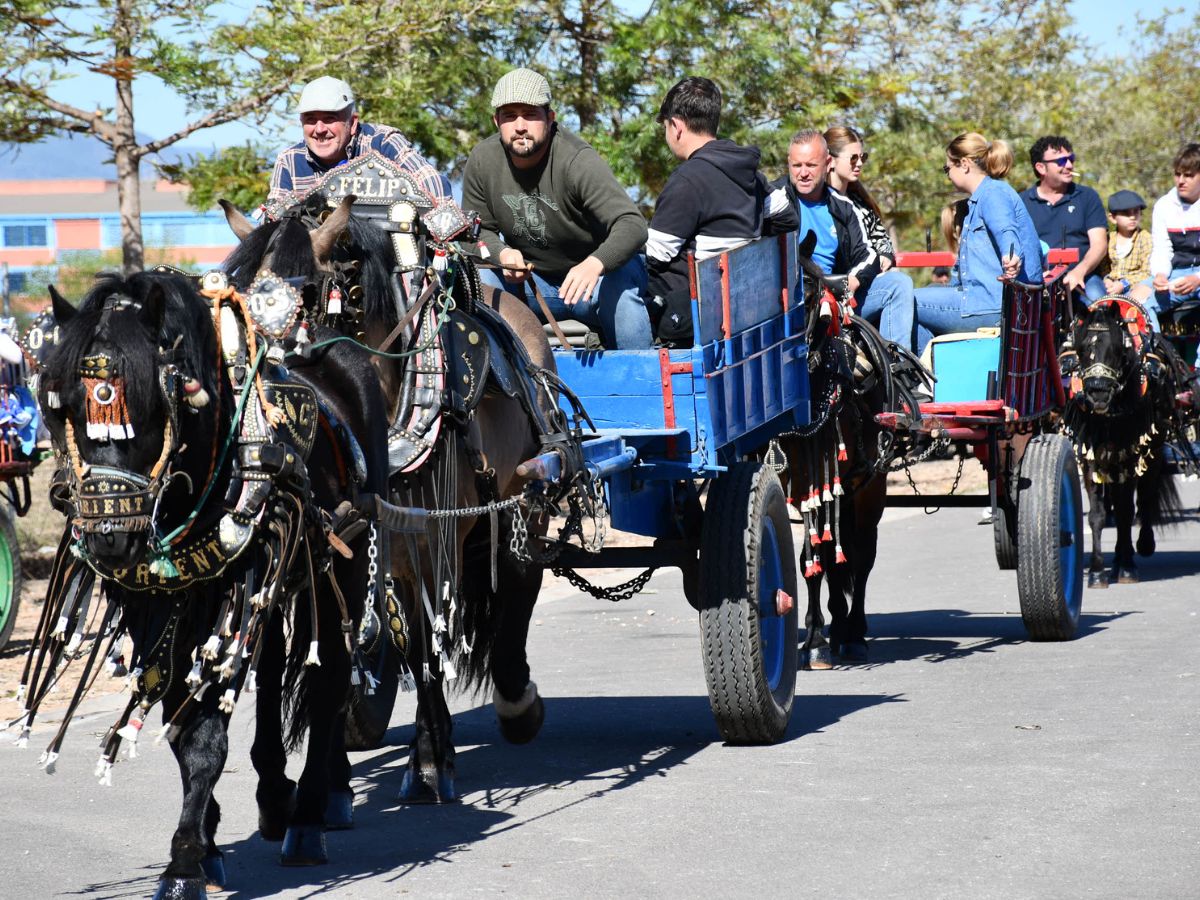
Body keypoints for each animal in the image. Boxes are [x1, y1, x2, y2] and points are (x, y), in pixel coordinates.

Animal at [23, 271, 386, 897]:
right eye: (61, 405)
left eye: (151, 407)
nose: (109, 538)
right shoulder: (163, 606)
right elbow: (177, 716)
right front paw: (209, 842)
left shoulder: (226, 593)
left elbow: (205, 736)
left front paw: (185, 862)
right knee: (272, 670)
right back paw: (275, 794)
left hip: (339, 559)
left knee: (330, 676)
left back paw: (310, 815)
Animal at [1065, 300, 1185, 588]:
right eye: (1082, 349)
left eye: (1116, 349)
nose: (1097, 393)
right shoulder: (1090, 455)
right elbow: (1098, 515)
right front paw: (1097, 572)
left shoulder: (1130, 452)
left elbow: (1126, 509)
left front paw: (1128, 567)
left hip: (1154, 447)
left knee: (1144, 495)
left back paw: (1139, 547)